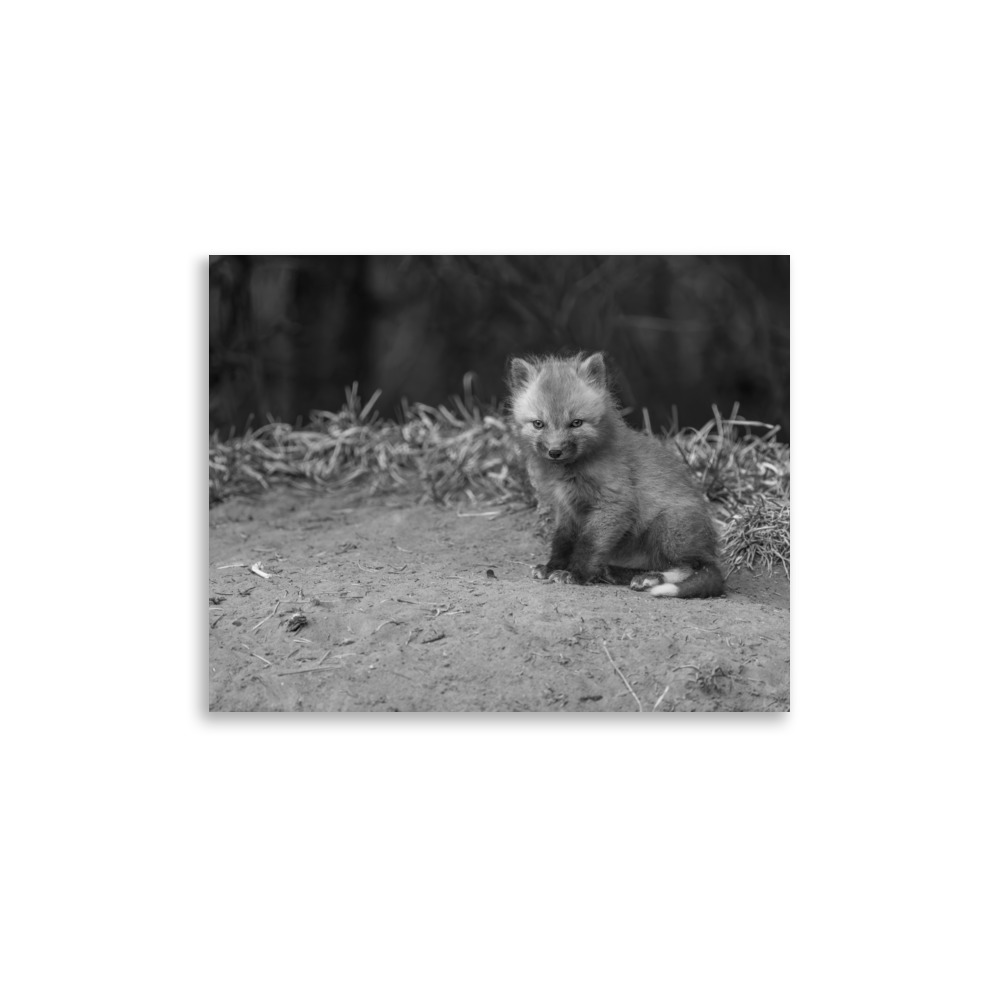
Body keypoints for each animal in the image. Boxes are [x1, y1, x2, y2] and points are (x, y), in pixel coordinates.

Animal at [507, 351, 724, 598]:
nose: (555, 452)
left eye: (576, 423)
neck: (570, 474)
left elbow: (589, 544)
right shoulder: (566, 509)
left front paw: (576, 574)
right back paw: (615, 572)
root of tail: (709, 548)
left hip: (668, 527)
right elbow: (562, 541)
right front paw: (553, 566)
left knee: (692, 567)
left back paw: (650, 579)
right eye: (538, 424)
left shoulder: (614, 504)